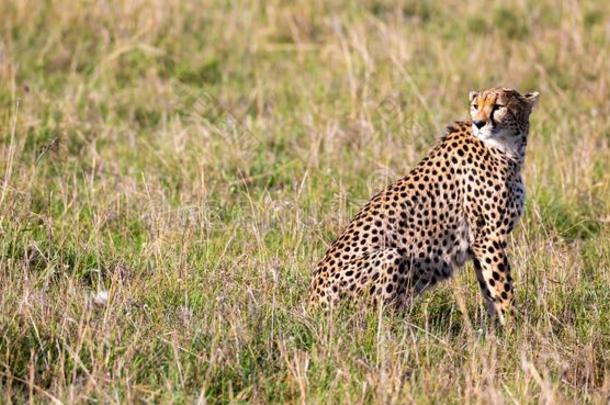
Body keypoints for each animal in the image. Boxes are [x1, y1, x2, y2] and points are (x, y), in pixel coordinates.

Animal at [308, 87, 536, 324]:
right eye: (476, 106)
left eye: (498, 107)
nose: (479, 123)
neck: (507, 147)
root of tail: (311, 304)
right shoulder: (489, 238)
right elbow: (502, 289)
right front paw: (515, 326)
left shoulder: (479, 243)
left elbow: (489, 288)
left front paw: (496, 328)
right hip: (392, 256)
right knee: (375, 318)